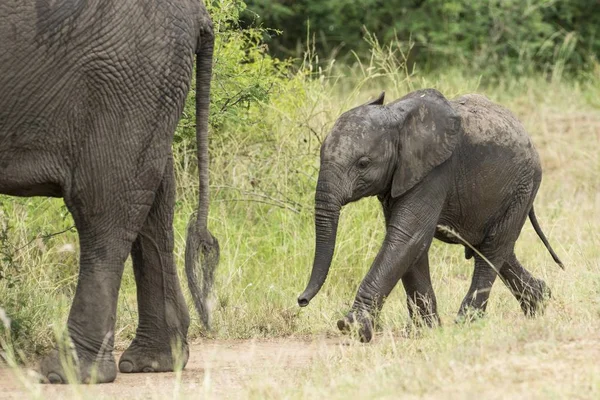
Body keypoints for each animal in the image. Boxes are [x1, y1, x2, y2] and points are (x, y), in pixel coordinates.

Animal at [0, 0, 219, 382]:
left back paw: (69, 373)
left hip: (126, 79)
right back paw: (153, 363)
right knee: (154, 201)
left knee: (104, 207)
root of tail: (197, 13)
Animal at [298, 89, 564, 342]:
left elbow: (407, 236)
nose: (302, 301)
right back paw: (539, 302)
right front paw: (427, 331)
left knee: (491, 250)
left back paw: (466, 324)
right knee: (494, 248)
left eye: (363, 163)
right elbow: (412, 244)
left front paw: (352, 328)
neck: (396, 118)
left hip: (524, 185)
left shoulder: (435, 171)